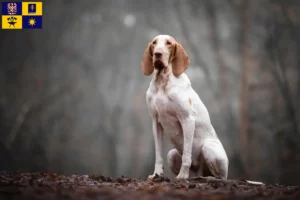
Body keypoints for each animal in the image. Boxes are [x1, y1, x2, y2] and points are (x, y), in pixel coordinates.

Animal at [142, 34, 229, 180]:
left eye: (168, 43)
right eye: (154, 43)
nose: (157, 54)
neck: (162, 82)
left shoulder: (187, 119)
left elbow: (187, 154)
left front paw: (182, 175)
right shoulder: (156, 122)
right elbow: (158, 154)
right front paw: (156, 174)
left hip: (208, 148)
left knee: (221, 177)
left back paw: (207, 178)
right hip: (172, 154)